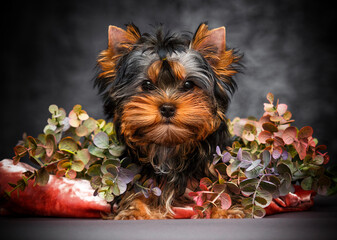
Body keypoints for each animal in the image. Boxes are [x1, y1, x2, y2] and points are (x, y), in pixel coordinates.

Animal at [94, 23, 242, 219]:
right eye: (147, 85)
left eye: (188, 85)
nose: (167, 108)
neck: (168, 146)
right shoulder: (138, 178)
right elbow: (135, 195)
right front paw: (134, 213)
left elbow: (219, 191)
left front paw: (225, 212)